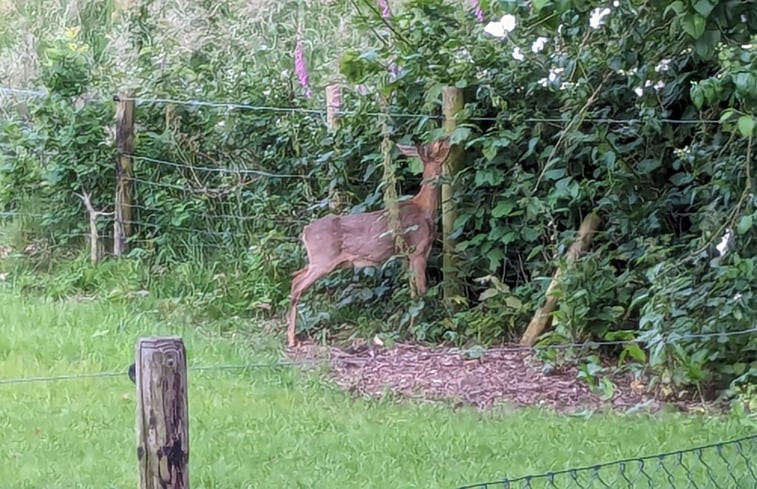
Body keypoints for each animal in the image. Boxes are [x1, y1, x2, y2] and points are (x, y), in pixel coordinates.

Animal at [284, 135, 448, 346]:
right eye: (437, 144)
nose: (448, 137)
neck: (424, 208)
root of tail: (305, 231)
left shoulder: (409, 255)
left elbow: (413, 292)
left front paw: (412, 328)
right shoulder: (418, 250)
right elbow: (421, 291)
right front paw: (419, 331)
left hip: (322, 261)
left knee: (295, 276)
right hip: (323, 260)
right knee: (297, 284)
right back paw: (291, 339)